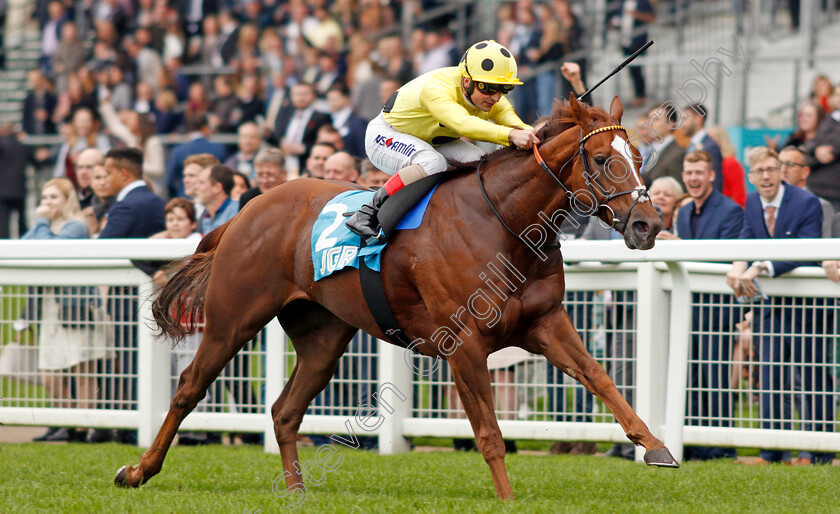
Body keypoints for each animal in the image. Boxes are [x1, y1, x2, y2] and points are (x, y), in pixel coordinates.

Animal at [115, 95, 680, 496]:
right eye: (603, 159)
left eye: (639, 156)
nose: (648, 224)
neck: (504, 222)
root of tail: (248, 208)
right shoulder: (464, 341)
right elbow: (490, 433)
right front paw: (506, 499)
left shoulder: (545, 323)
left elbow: (601, 378)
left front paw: (656, 447)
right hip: (234, 316)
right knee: (189, 388)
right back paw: (139, 471)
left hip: (323, 336)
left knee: (284, 410)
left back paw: (294, 490)